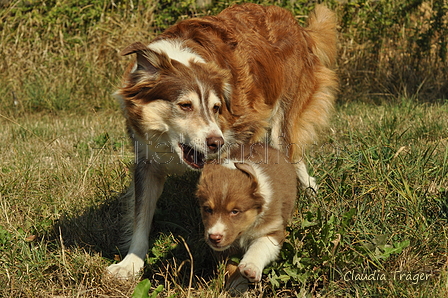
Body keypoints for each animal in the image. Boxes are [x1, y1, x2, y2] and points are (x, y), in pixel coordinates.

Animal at [196, 144, 298, 284]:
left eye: (235, 211)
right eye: (207, 209)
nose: (214, 238)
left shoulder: (273, 229)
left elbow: (260, 246)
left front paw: (250, 267)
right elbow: (231, 268)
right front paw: (236, 285)